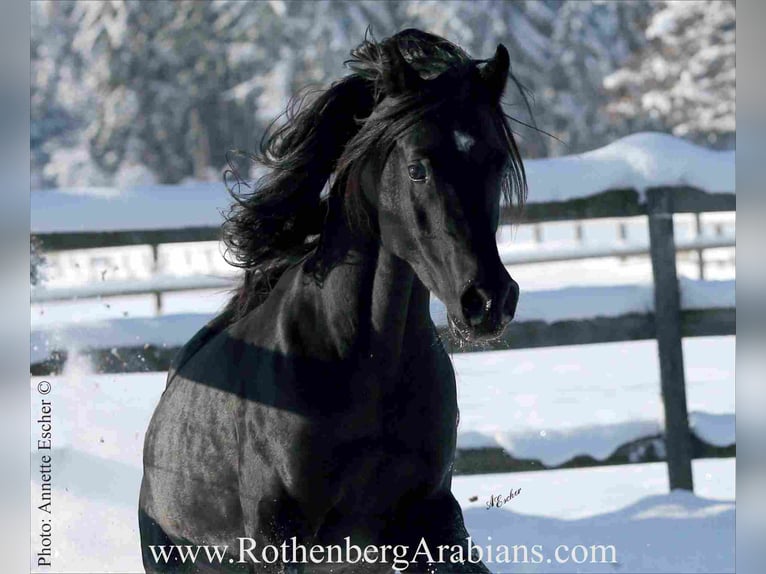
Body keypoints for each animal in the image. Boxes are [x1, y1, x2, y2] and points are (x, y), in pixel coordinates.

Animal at [140, 30, 528, 574]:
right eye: (417, 168)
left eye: (495, 161)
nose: (488, 301)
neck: (360, 362)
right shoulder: (278, 534)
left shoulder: (429, 515)